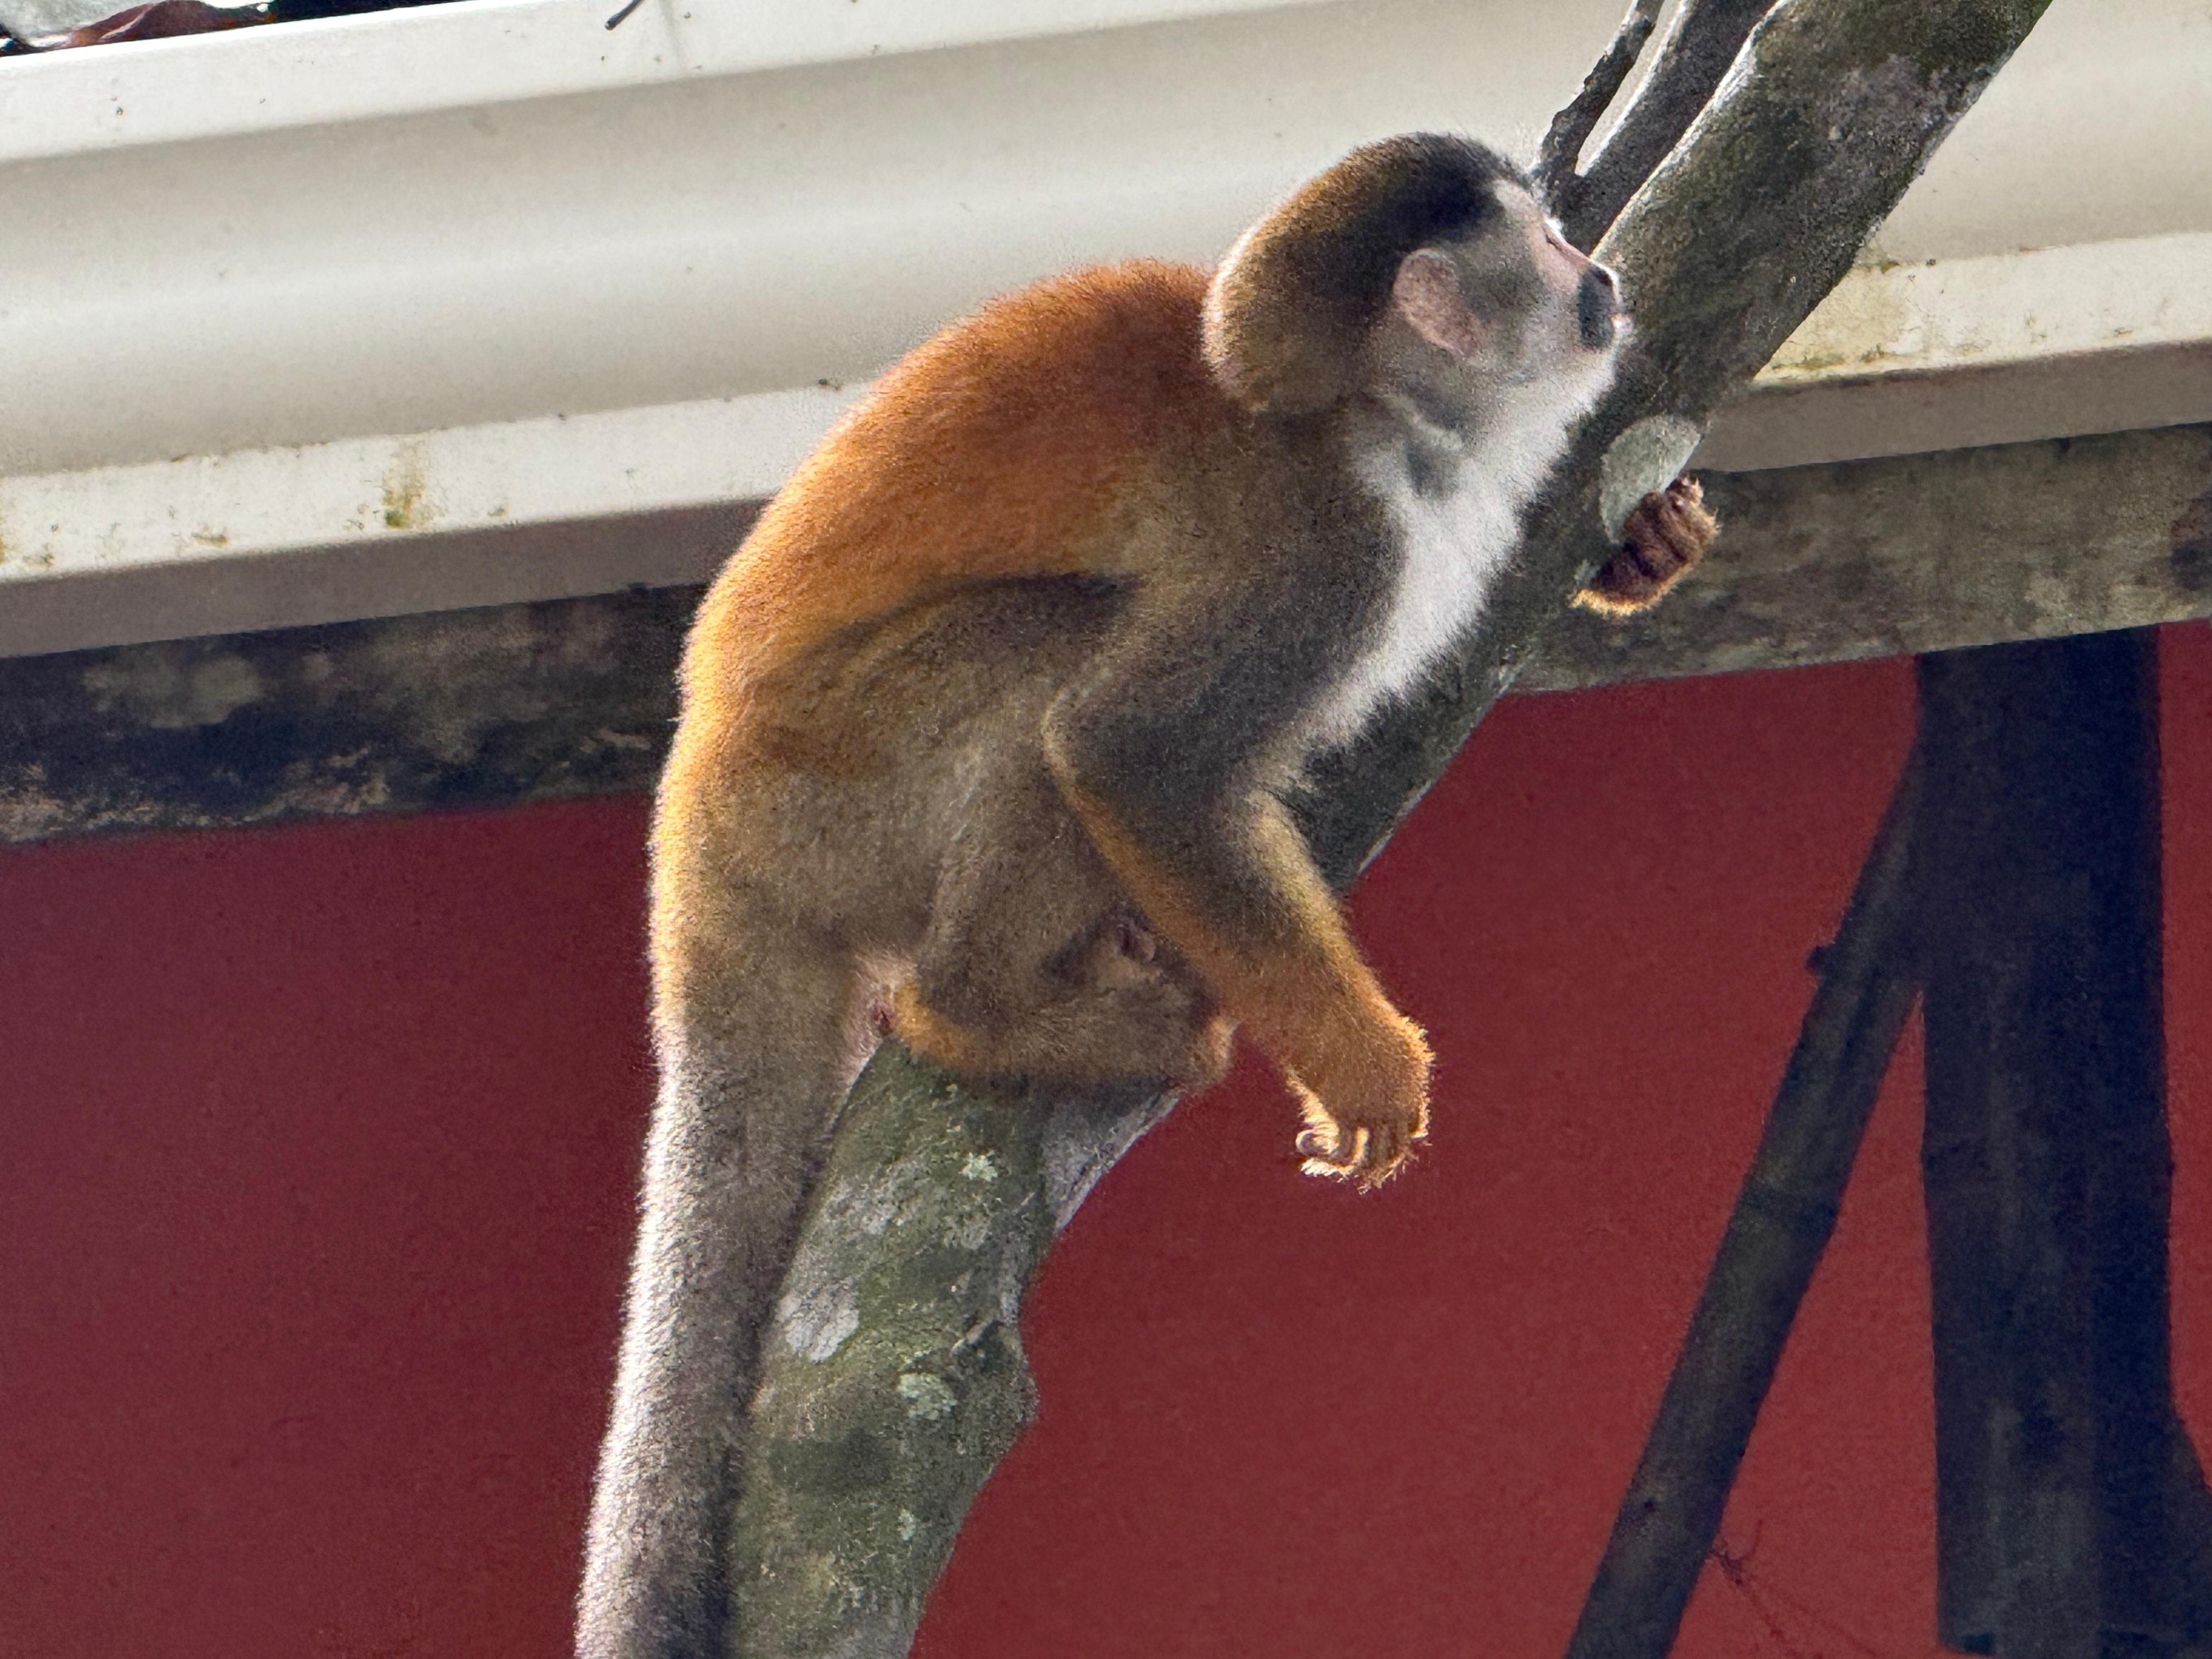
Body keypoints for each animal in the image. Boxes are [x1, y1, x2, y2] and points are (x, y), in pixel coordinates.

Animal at [576, 132, 1714, 1658]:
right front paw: (1364, 1066)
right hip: (829, 787)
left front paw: (1648, 544)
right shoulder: (1321, 544)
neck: (1379, 420)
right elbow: (1136, 754)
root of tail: (695, 805)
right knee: (1059, 659)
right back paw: (983, 1012)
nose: (1601, 279)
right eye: (1543, 247)